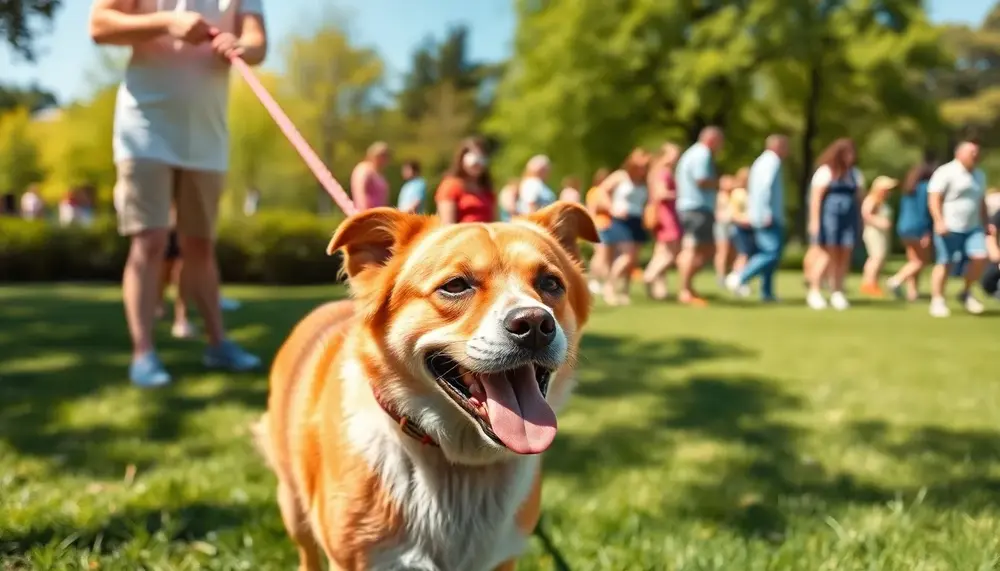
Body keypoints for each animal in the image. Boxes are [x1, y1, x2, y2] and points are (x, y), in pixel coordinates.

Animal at [258, 203, 596, 568]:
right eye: (456, 285)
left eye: (551, 283)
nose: (535, 323)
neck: (458, 462)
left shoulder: (501, 558)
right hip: (292, 504)